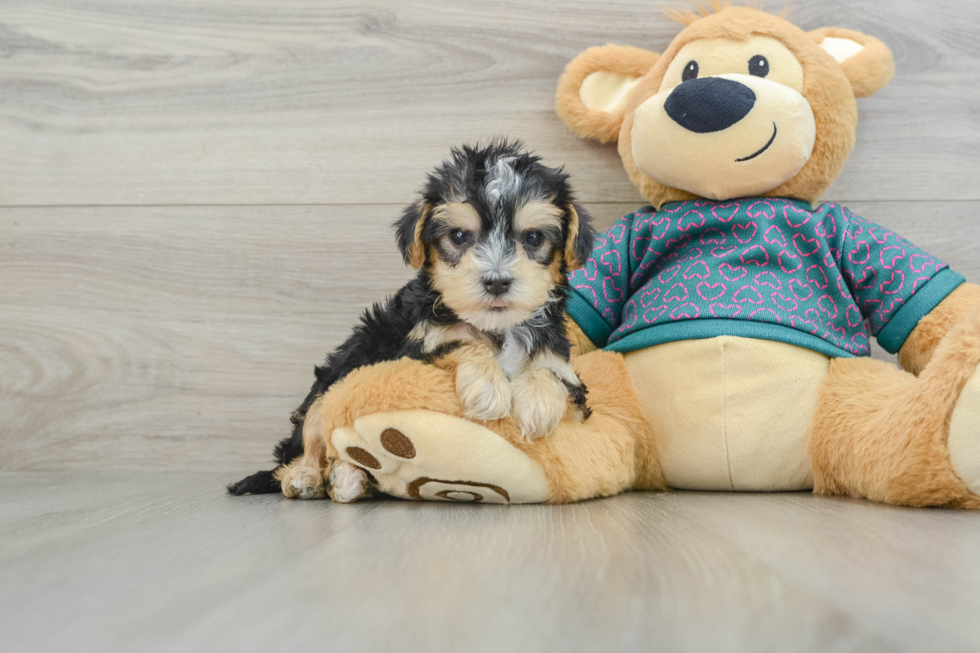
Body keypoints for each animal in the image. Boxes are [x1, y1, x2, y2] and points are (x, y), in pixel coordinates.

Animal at [228, 140, 596, 502]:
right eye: (459, 236)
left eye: (533, 238)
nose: (496, 281)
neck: (496, 329)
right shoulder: (412, 350)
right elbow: (461, 341)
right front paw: (488, 388)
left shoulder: (563, 363)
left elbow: (553, 372)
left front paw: (537, 404)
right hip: (330, 384)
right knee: (308, 442)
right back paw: (310, 477)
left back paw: (349, 478)